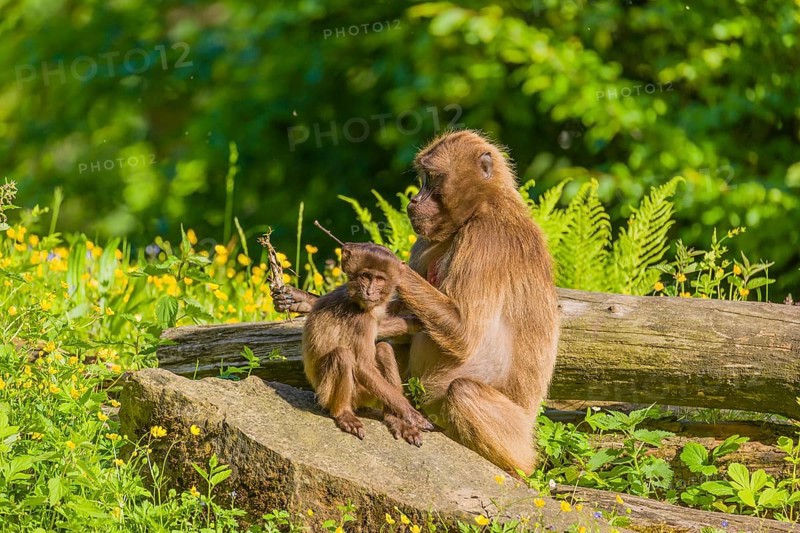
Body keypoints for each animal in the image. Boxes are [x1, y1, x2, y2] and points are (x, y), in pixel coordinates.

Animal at [301, 242, 434, 446]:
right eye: (365, 276)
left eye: (379, 279)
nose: (370, 292)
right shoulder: (361, 321)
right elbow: (362, 366)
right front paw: (411, 414)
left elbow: (379, 330)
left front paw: (416, 323)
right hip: (329, 395)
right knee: (343, 355)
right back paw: (343, 414)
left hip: (366, 394)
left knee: (383, 349)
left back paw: (393, 418)